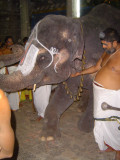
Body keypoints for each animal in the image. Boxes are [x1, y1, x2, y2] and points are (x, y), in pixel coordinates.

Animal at [0, 2, 120, 140]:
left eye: (43, 58)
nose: (12, 47)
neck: (78, 24)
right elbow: (65, 93)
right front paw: (48, 136)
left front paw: (84, 128)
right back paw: (80, 108)